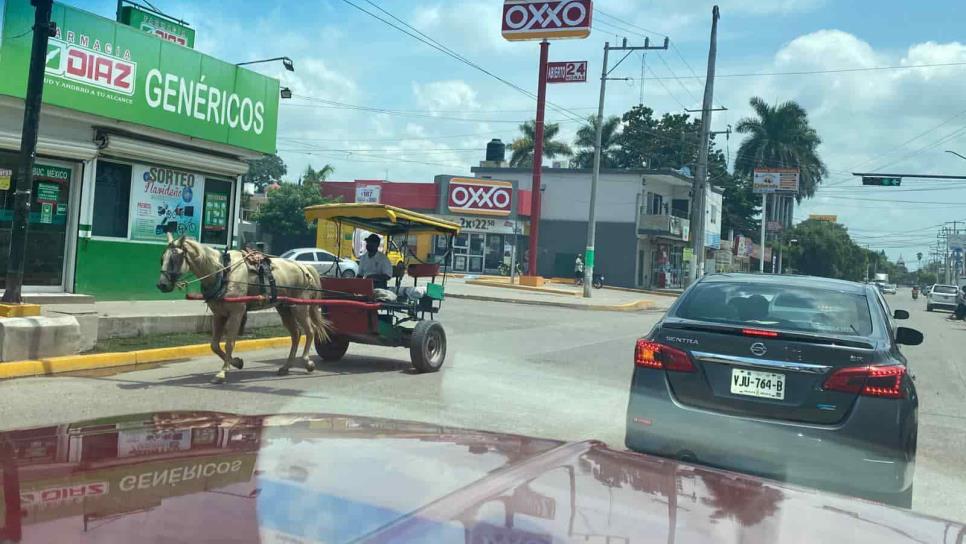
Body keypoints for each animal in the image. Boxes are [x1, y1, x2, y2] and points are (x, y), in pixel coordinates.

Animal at [155, 233, 328, 382]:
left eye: (175, 258)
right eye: (162, 258)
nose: (161, 285)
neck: (223, 272)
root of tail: (304, 267)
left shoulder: (236, 313)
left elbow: (229, 343)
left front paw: (223, 372)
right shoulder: (219, 314)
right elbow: (214, 345)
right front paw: (236, 362)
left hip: (300, 307)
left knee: (310, 331)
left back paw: (307, 362)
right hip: (285, 308)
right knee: (296, 334)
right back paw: (286, 367)